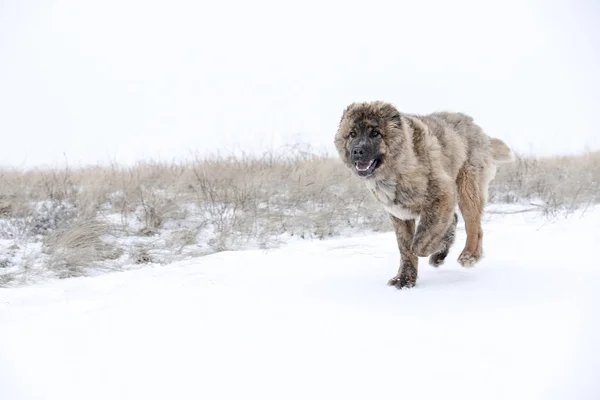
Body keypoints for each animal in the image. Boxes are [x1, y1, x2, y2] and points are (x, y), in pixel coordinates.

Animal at [332, 100, 516, 288]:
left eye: (375, 133)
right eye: (352, 134)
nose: (357, 151)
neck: (398, 168)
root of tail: (475, 127)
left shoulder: (442, 194)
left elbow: (419, 245)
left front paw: (439, 244)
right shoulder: (400, 215)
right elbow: (406, 250)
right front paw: (405, 279)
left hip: (467, 188)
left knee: (474, 226)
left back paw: (469, 255)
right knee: (457, 220)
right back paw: (442, 255)